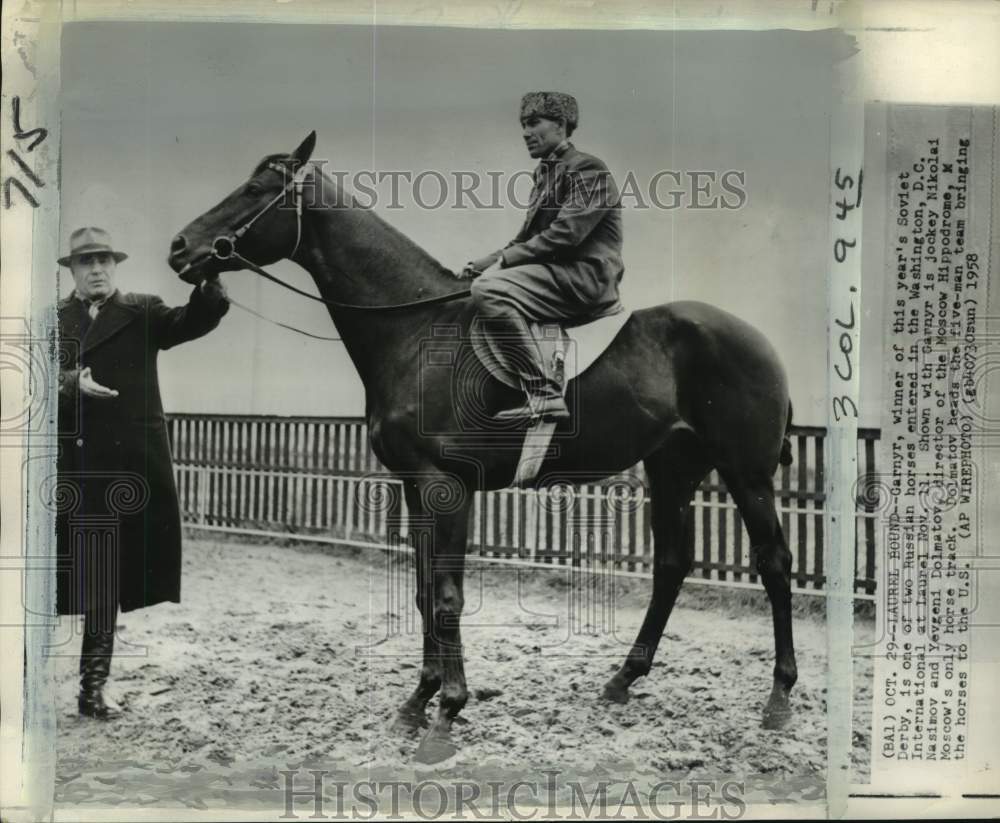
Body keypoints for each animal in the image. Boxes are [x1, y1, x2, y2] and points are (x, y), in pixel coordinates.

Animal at [168, 132, 798, 765]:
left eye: (256, 188)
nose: (179, 247)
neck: (417, 333)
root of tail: (759, 340)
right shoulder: (416, 488)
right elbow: (424, 594)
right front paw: (416, 704)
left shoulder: (447, 488)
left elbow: (447, 598)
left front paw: (447, 714)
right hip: (673, 470)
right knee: (671, 565)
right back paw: (622, 681)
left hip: (746, 473)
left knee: (773, 562)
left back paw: (778, 699)